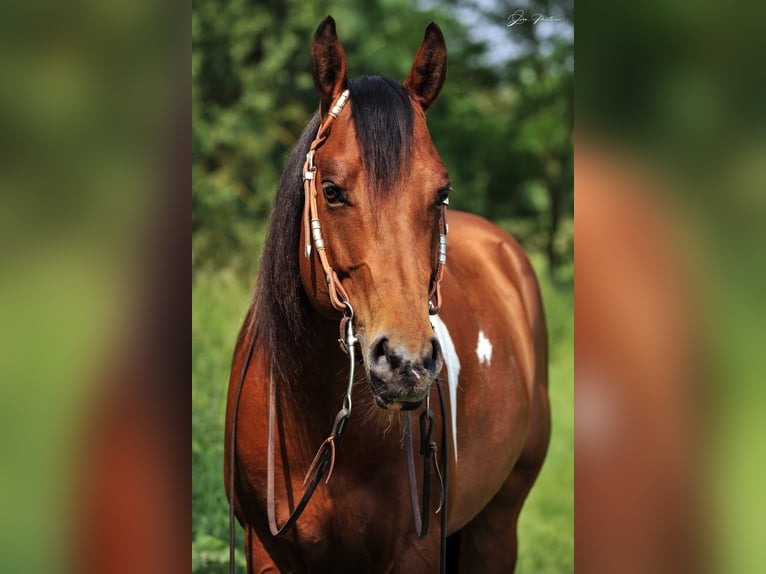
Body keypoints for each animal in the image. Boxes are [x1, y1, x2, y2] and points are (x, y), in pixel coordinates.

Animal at [225, 16, 550, 573]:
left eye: (441, 193)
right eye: (331, 191)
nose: (406, 362)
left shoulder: (415, 553)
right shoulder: (263, 549)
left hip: (496, 527)